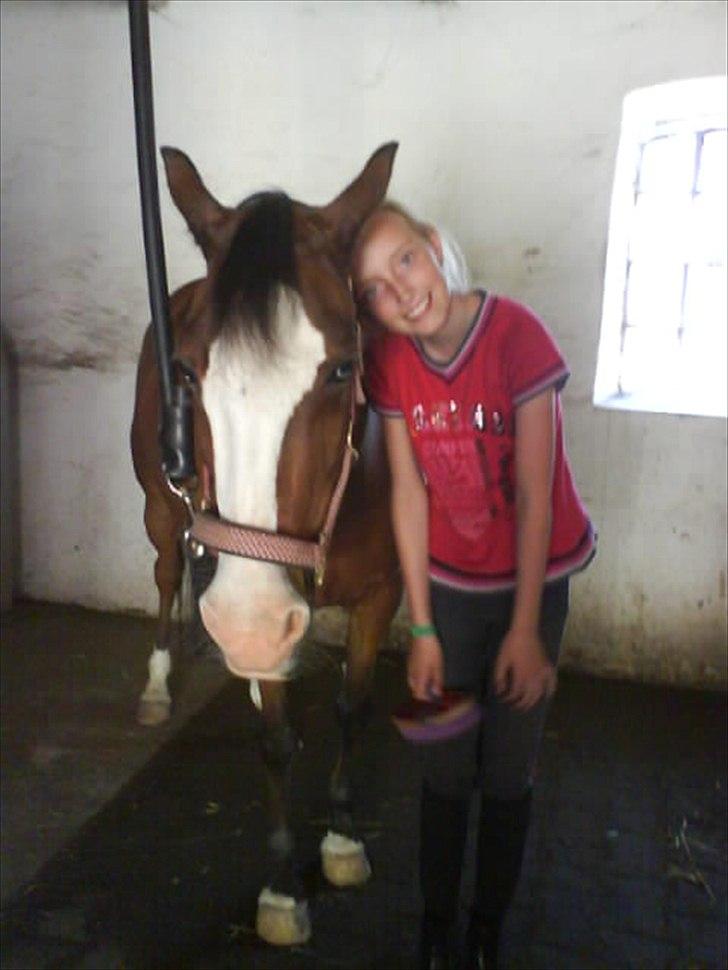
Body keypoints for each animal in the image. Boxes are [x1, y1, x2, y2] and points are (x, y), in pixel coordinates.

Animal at [130, 143, 402, 945]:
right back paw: (158, 684)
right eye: (188, 373)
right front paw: (284, 888)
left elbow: (354, 707)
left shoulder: (380, 595)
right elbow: (278, 741)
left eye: (343, 368)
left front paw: (342, 839)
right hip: (163, 516)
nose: (246, 626)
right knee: (166, 577)